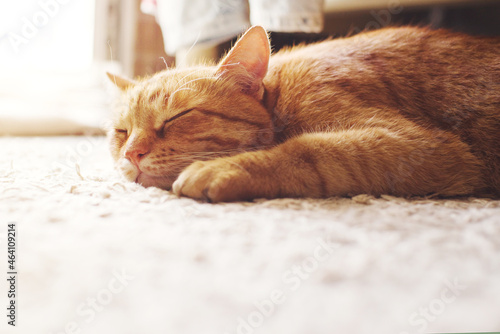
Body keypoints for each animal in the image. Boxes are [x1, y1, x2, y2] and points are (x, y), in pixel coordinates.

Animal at [108, 25, 500, 201]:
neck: (279, 96)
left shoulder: (425, 146)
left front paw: (222, 168)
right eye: (122, 132)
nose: (132, 154)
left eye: (177, 117)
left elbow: (309, 150)